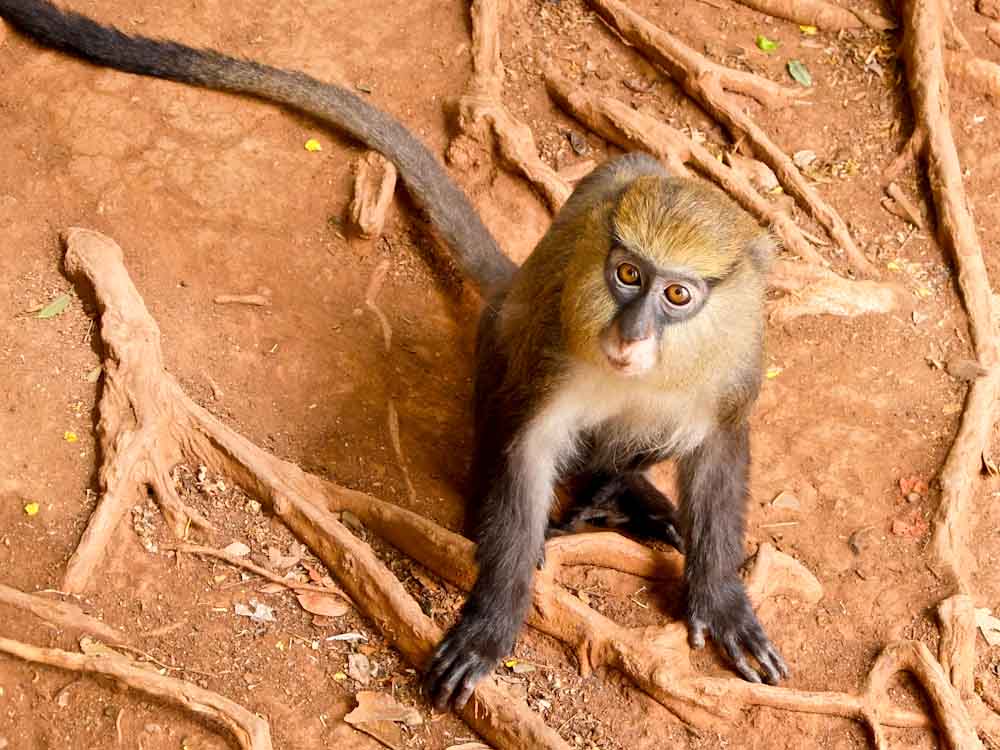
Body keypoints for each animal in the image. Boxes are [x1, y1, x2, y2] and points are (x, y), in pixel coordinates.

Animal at [0, 0, 788, 712]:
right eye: (627, 274)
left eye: (677, 294)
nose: (631, 333)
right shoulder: (555, 355)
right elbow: (527, 450)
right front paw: (493, 619)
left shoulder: (732, 372)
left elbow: (718, 454)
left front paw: (721, 599)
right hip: (509, 330)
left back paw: (620, 495)